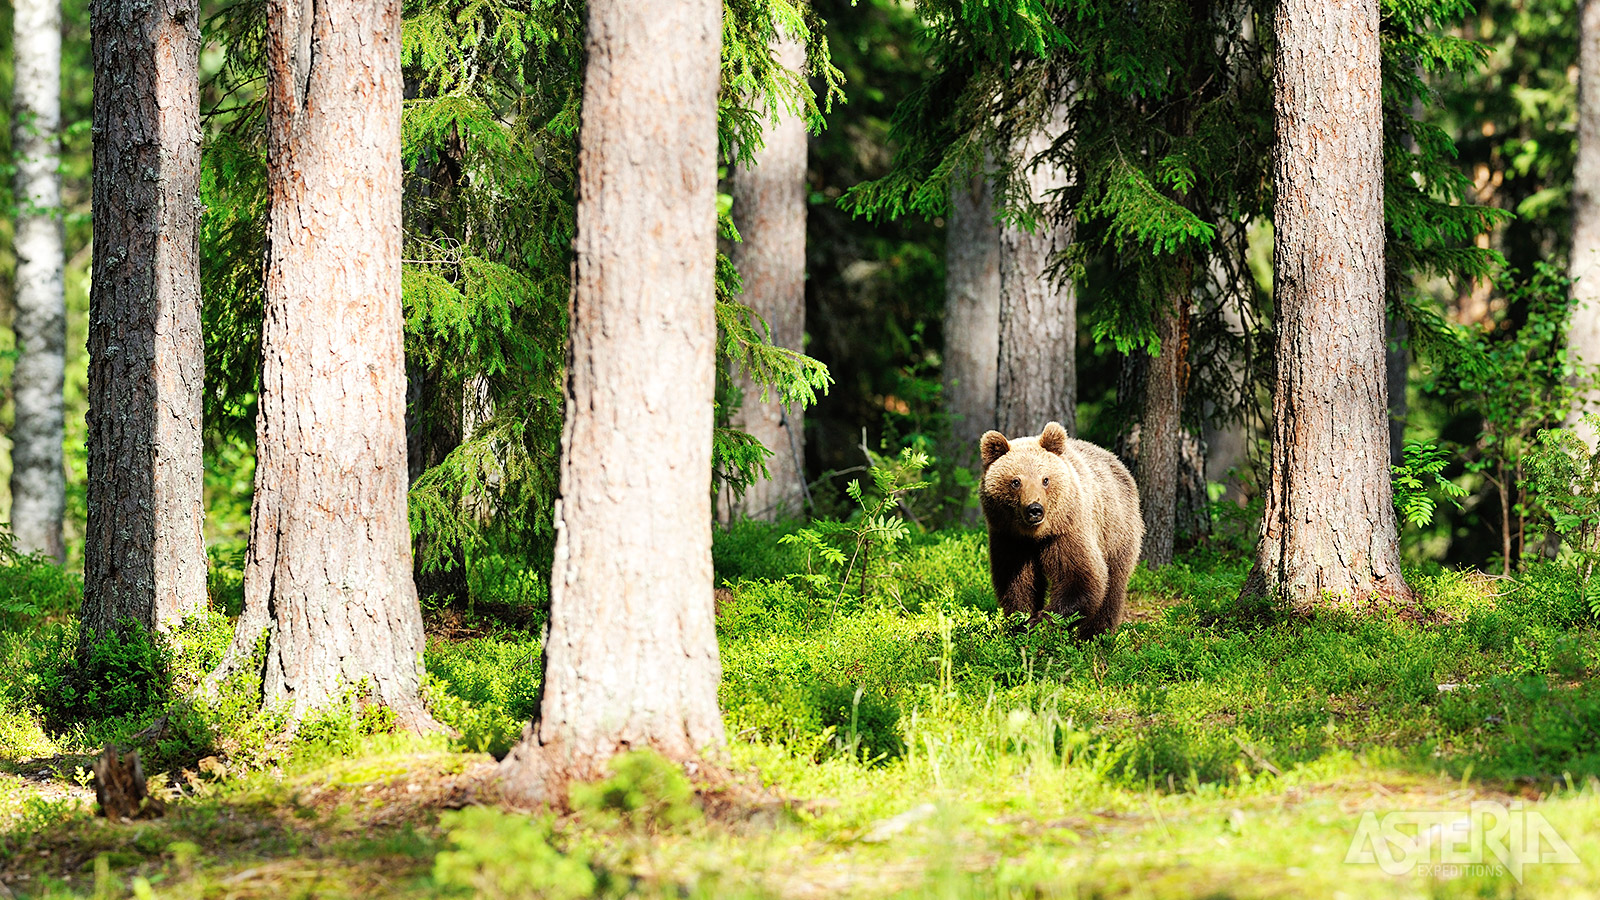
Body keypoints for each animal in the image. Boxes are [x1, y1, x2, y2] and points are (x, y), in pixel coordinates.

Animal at [972, 419, 1139, 637]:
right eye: (1016, 481)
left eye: (1045, 479)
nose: (1035, 509)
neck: (1035, 535)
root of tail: (1113, 458)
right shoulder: (1008, 537)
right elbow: (1016, 582)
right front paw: (1020, 622)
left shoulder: (1067, 531)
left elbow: (1082, 577)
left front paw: (1040, 621)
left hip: (1116, 530)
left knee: (1114, 583)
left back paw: (1095, 634)